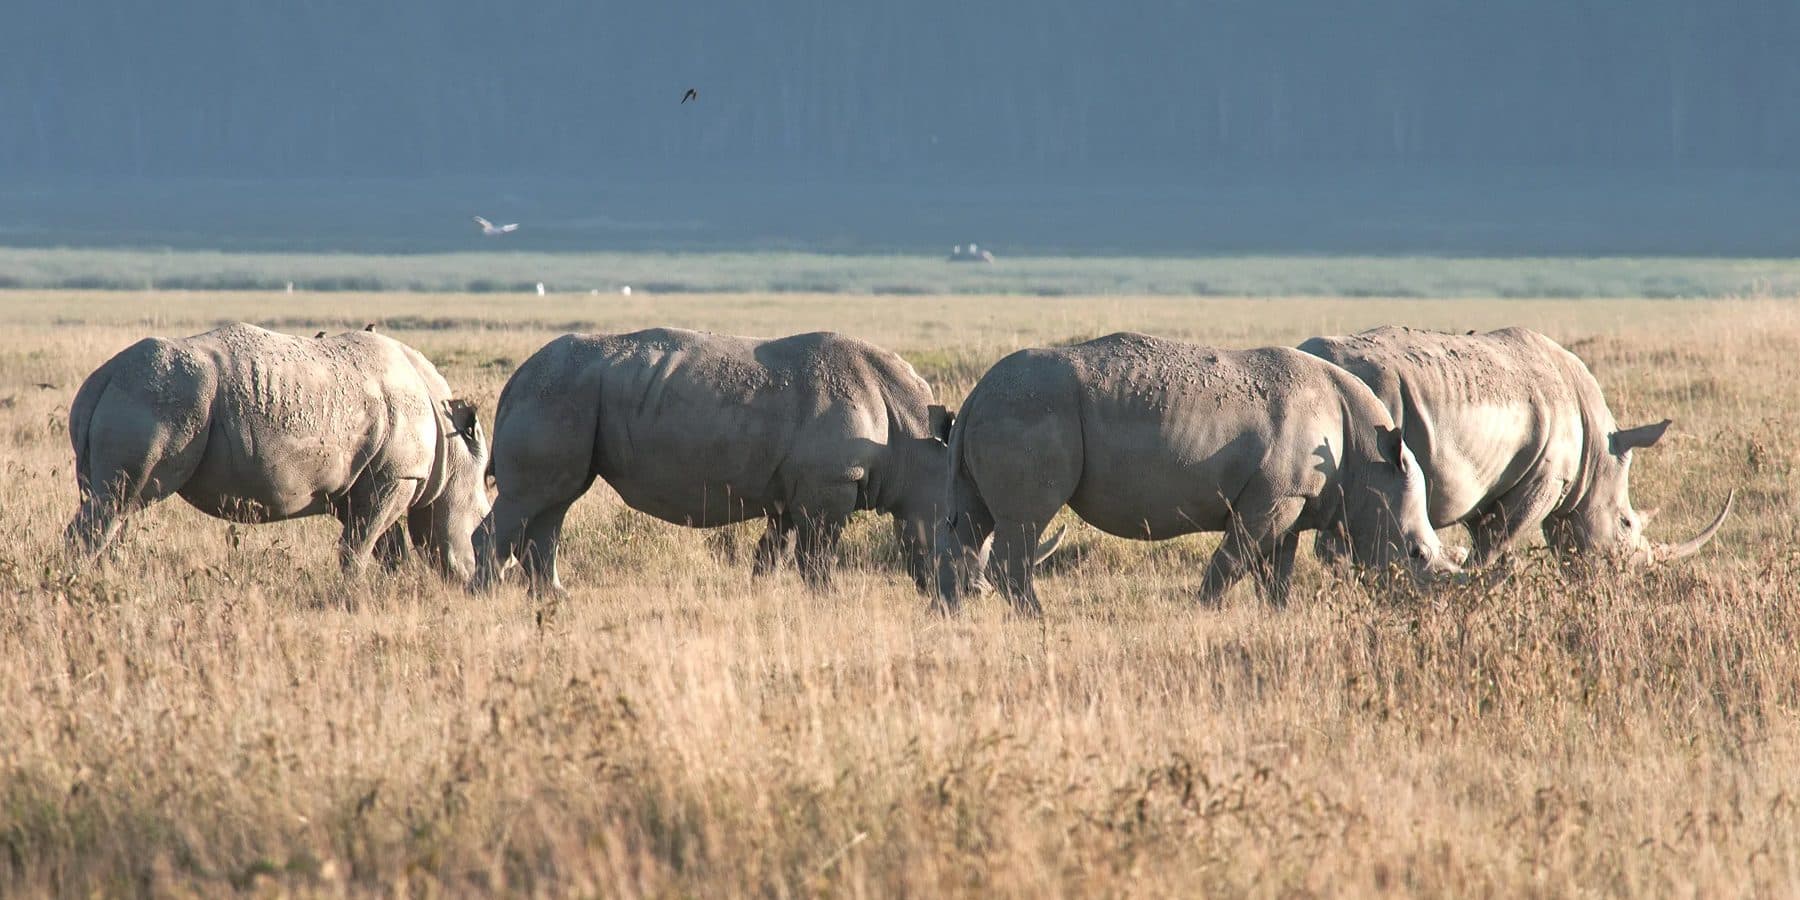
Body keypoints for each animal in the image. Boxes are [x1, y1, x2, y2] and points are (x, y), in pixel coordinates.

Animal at [65, 323, 491, 577]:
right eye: (482, 524)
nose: (480, 577)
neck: (456, 454)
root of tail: (102, 377)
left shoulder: (363, 482)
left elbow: (383, 545)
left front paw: (391, 585)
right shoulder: (396, 476)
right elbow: (360, 544)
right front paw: (355, 592)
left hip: (142, 393)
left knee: (116, 506)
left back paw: (107, 579)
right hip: (161, 396)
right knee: (117, 503)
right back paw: (83, 582)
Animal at [471, 328, 1058, 595]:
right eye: (954, 528)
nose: (978, 592)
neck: (916, 444)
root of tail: (515, 378)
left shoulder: (791, 494)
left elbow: (770, 554)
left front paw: (761, 594)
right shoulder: (828, 488)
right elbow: (817, 557)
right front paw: (828, 602)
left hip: (564, 396)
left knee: (554, 502)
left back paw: (555, 597)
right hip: (556, 394)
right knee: (533, 499)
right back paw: (487, 598)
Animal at [936, 332, 1458, 614]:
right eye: (1415, 554)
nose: (1427, 605)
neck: (1369, 460)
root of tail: (976, 392)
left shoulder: (1292, 498)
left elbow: (1277, 569)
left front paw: (1277, 614)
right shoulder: (1273, 498)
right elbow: (1233, 560)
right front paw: (1205, 610)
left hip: (1004, 410)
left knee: (970, 522)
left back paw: (951, 616)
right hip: (1030, 410)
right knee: (1024, 523)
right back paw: (1037, 619)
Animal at [1298, 326, 1731, 569]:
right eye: (1626, 524)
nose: (1629, 577)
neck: (1596, 455)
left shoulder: (1489, 479)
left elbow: (1492, 540)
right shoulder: (1545, 478)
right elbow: (1497, 541)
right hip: (1376, 400)